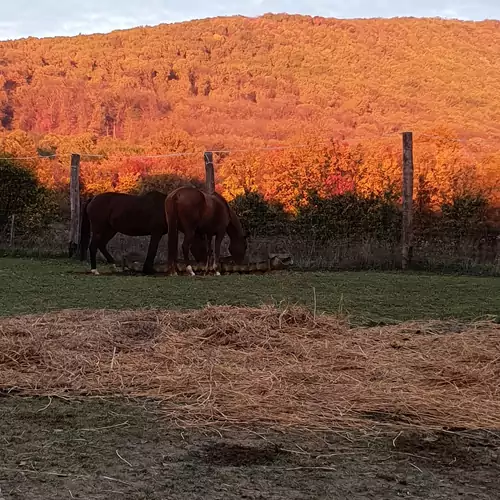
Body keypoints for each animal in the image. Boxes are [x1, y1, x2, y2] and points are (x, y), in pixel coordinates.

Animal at [79, 191, 207, 278]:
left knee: (101, 245)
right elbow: (152, 250)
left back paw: (114, 266)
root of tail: (92, 199)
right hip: (99, 230)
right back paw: (95, 270)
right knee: (93, 246)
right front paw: (149, 269)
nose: (203, 261)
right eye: (201, 243)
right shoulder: (156, 233)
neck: (166, 208)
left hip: (110, 230)